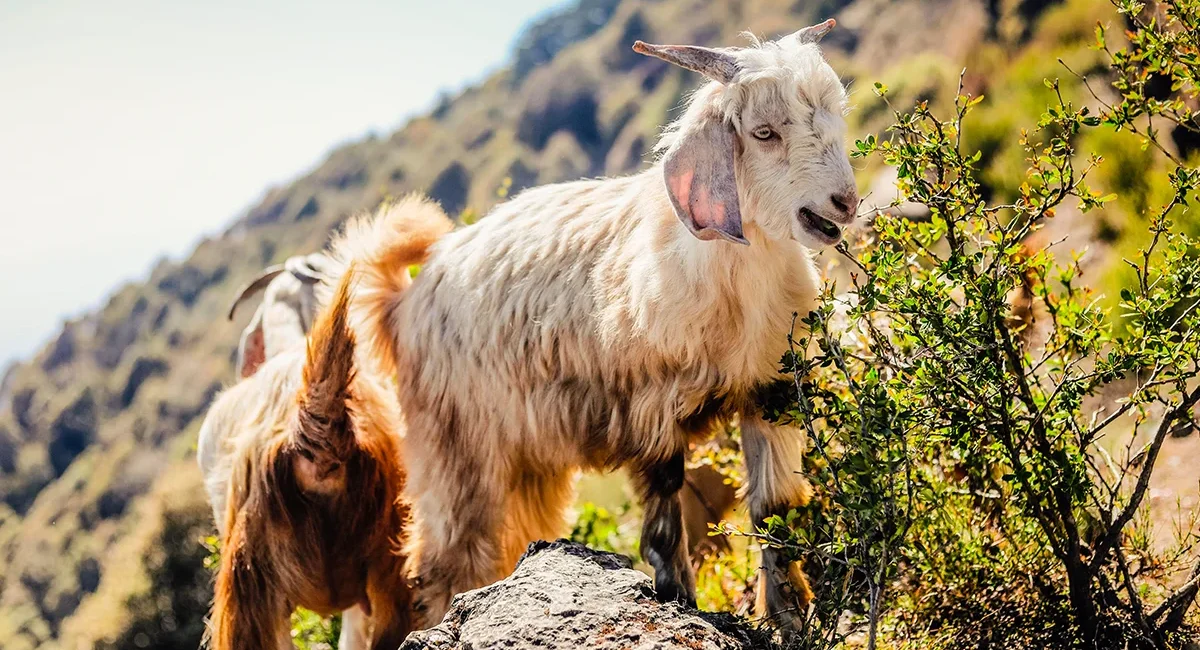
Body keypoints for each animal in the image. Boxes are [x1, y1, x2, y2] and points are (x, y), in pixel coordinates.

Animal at [359, 22, 858, 633]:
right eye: (764, 133)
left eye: (835, 113)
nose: (843, 203)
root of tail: (403, 300)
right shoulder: (650, 408)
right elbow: (664, 525)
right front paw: (679, 602)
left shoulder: (770, 391)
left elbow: (773, 512)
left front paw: (789, 620)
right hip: (456, 452)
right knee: (444, 563)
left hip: (526, 464)